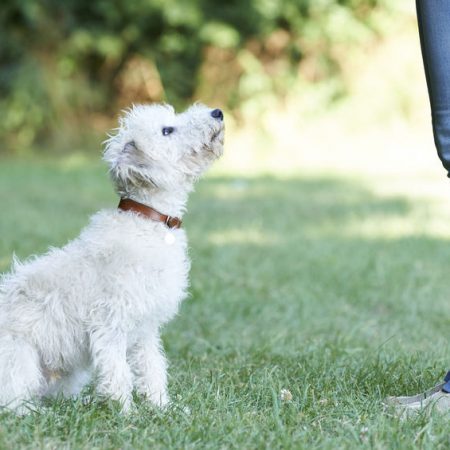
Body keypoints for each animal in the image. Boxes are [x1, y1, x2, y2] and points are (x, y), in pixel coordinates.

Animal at [0, 103, 225, 414]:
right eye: (167, 130)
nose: (217, 112)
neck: (147, 221)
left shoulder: (146, 329)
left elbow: (153, 367)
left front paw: (162, 407)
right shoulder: (110, 323)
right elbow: (118, 372)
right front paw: (126, 413)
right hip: (19, 358)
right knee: (14, 402)